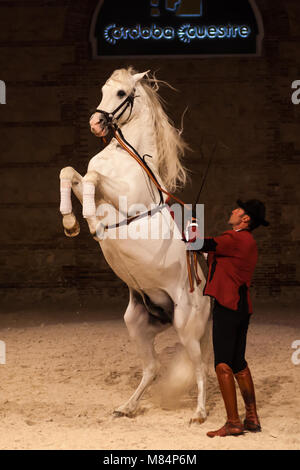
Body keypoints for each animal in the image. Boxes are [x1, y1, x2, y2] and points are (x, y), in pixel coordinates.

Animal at [58, 67, 211, 422]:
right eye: (103, 90)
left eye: (121, 93)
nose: (96, 123)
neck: (123, 157)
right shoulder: (87, 180)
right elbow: (70, 173)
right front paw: (71, 222)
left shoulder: (128, 201)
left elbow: (92, 179)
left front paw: (89, 219)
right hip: (138, 324)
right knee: (152, 369)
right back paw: (126, 407)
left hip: (187, 324)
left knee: (199, 368)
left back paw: (198, 413)